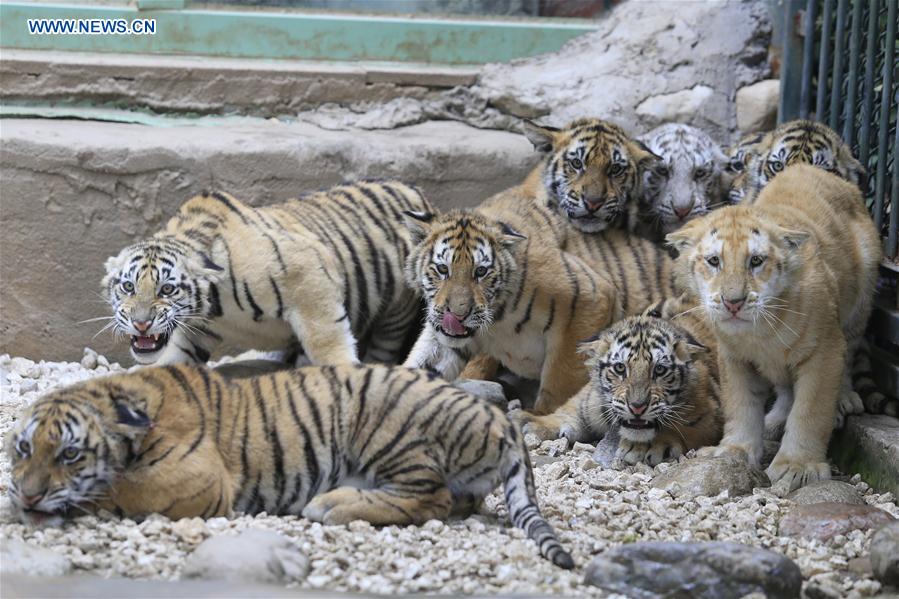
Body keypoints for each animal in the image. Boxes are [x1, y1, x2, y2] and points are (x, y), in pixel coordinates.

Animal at [5, 363, 574, 569]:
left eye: (70, 455)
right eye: (22, 449)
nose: (28, 496)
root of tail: (498, 416)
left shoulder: (199, 480)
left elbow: (119, 489)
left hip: (384, 421)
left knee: (430, 497)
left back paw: (332, 504)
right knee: (456, 499)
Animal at [103, 181, 428, 368]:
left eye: (167, 289)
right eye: (128, 287)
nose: (141, 324)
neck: (213, 307)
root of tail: (416, 192)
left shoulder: (311, 282)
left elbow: (331, 347)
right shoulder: (194, 334)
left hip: (397, 311)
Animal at [513, 295, 722, 467]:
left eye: (660, 370)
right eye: (620, 368)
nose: (637, 407)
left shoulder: (709, 416)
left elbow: (681, 427)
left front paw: (647, 446)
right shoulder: (589, 400)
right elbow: (569, 409)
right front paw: (529, 420)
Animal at [666, 164, 881, 495]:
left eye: (756, 261)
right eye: (714, 261)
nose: (733, 302)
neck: (760, 333)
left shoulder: (824, 351)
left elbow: (810, 410)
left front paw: (797, 466)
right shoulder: (734, 358)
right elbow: (741, 405)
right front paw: (734, 450)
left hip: (860, 299)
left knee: (850, 351)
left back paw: (844, 400)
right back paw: (773, 421)